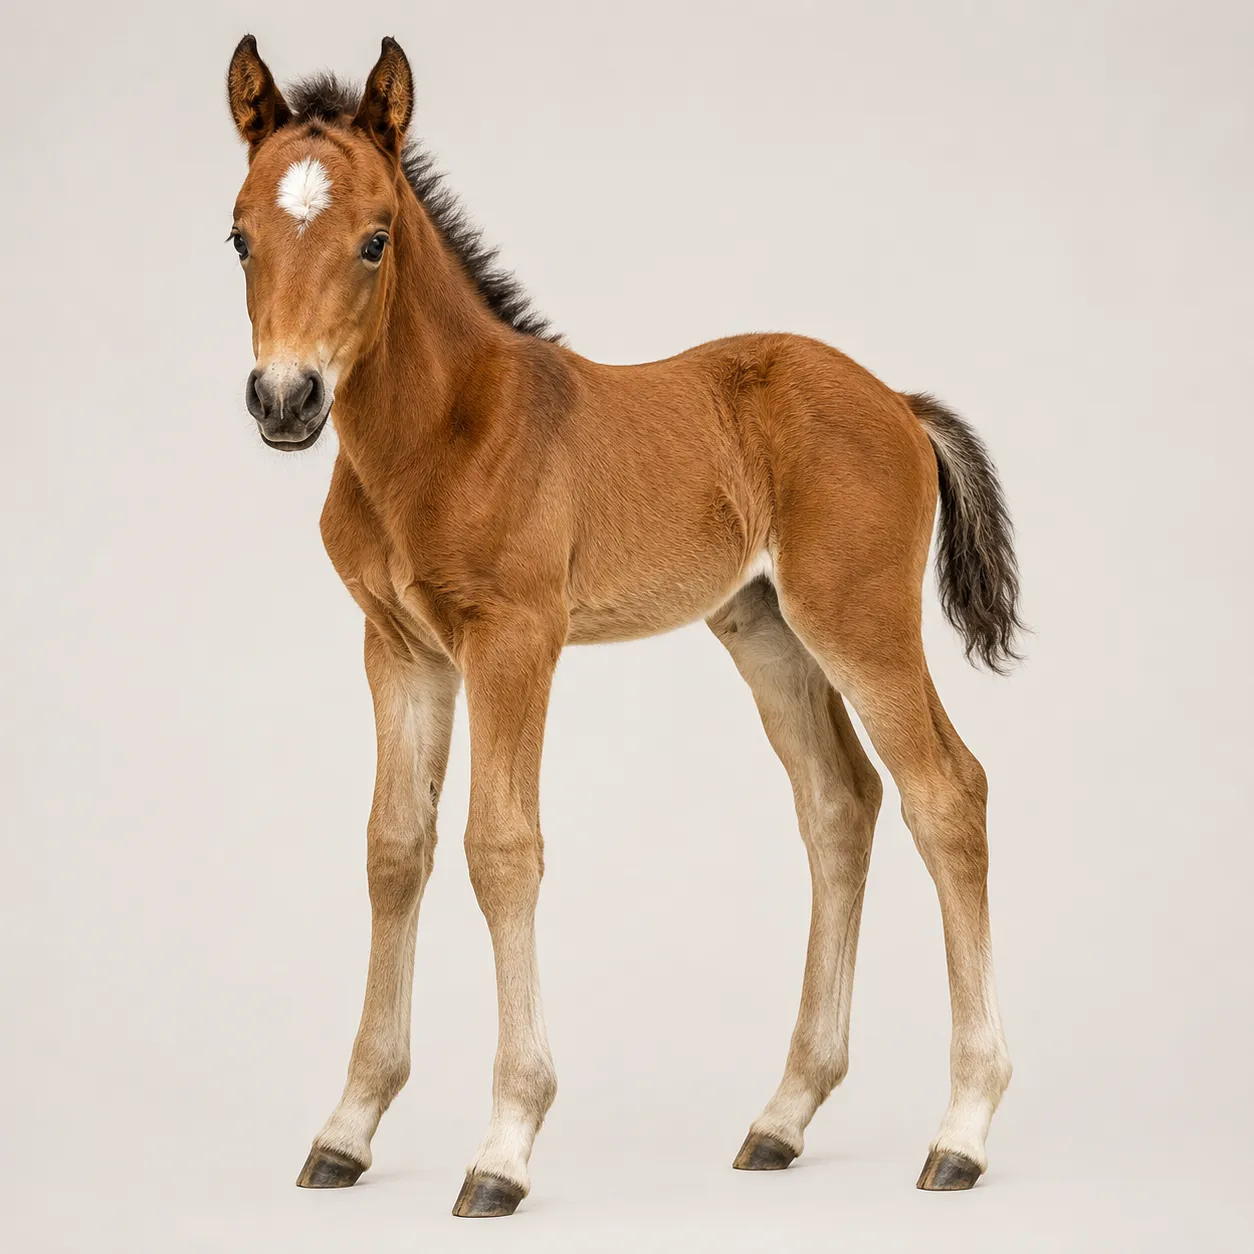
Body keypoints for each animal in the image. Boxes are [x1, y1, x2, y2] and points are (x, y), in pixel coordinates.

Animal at [225, 34, 1021, 1218]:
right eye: (237, 235)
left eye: (374, 240)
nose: (285, 401)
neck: (435, 433)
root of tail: (896, 400)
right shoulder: (397, 648)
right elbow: (394, 848)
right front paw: (349, 1129)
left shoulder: (515, 637)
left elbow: (501, 848)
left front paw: (504, 1146)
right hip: (767, 632)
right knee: (841, 805)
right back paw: (782, 1117)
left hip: (859, 616)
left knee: (946, 793)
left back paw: (962, 1129)